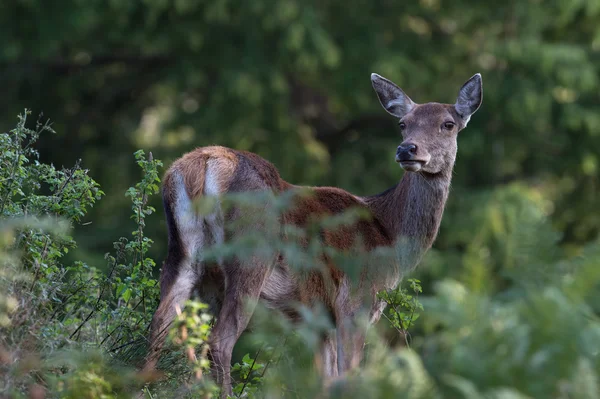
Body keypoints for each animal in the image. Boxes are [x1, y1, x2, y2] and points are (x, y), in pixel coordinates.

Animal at [143, 72, 486, 396]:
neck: (389, 236)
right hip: (251, 255)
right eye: (403, 124)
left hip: (182, 254)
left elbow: (327, 382)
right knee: (218, 341)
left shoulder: (319, 319)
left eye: (448, 124)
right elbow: (348, 377)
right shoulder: (355, 300)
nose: (407, 149)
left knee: (159, 327)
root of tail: (203, 163)